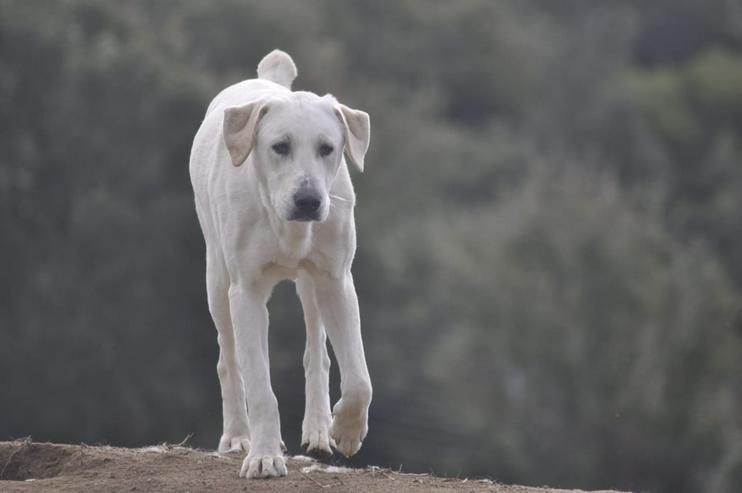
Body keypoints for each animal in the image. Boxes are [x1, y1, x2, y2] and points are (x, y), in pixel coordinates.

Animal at [186, 50, 372, 476]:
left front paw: (347, 431)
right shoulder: (246, 292)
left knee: (317, 352)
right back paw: (238, 436)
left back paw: (319, 430)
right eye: (280, 146)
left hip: (312, 285)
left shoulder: (337, 280)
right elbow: (259, 385)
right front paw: (264, 457)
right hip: (217, 279)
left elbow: (359, 379)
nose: (308, 201)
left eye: (327, 148)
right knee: (228, 358)